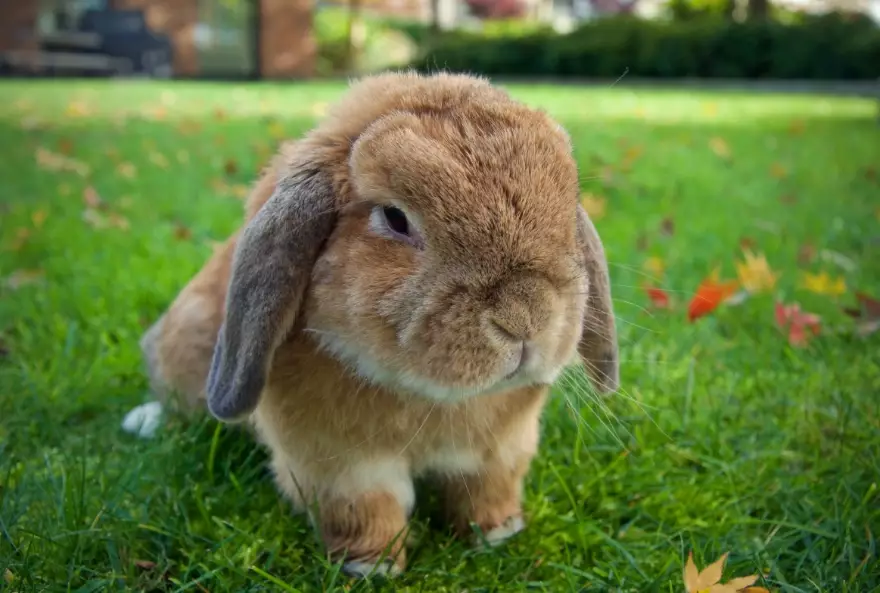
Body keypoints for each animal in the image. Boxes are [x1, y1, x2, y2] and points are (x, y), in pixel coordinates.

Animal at [124, 70, 619, 578]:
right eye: (395, 218)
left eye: (568, 208)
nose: (526, 317)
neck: (431, 398)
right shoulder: (341, 465)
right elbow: (368, 508)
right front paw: (372, 566)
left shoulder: (500, 452)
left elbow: (487, 491)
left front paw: (499, 533)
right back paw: (144, 420)